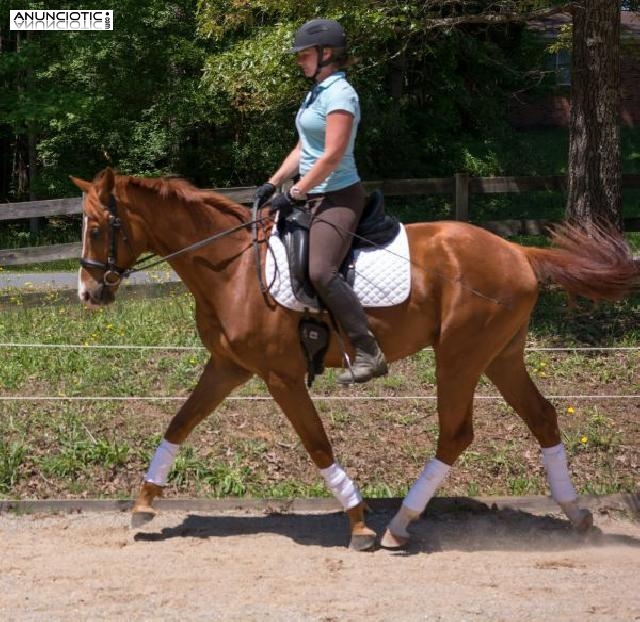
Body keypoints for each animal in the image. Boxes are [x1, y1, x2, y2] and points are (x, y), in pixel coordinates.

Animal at [71, 167, 639, 551]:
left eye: (97, 227)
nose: (87, 293)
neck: (231, 269)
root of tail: (518, 252)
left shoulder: (280, 376)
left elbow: (316, 443)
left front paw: (359, 520)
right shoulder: (229, 367)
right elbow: (180, 422)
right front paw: (143, 504)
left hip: (460, 355)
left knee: (456, 433)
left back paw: (399, 526)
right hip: (501, 356)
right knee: (542, 416)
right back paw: (576, 514)